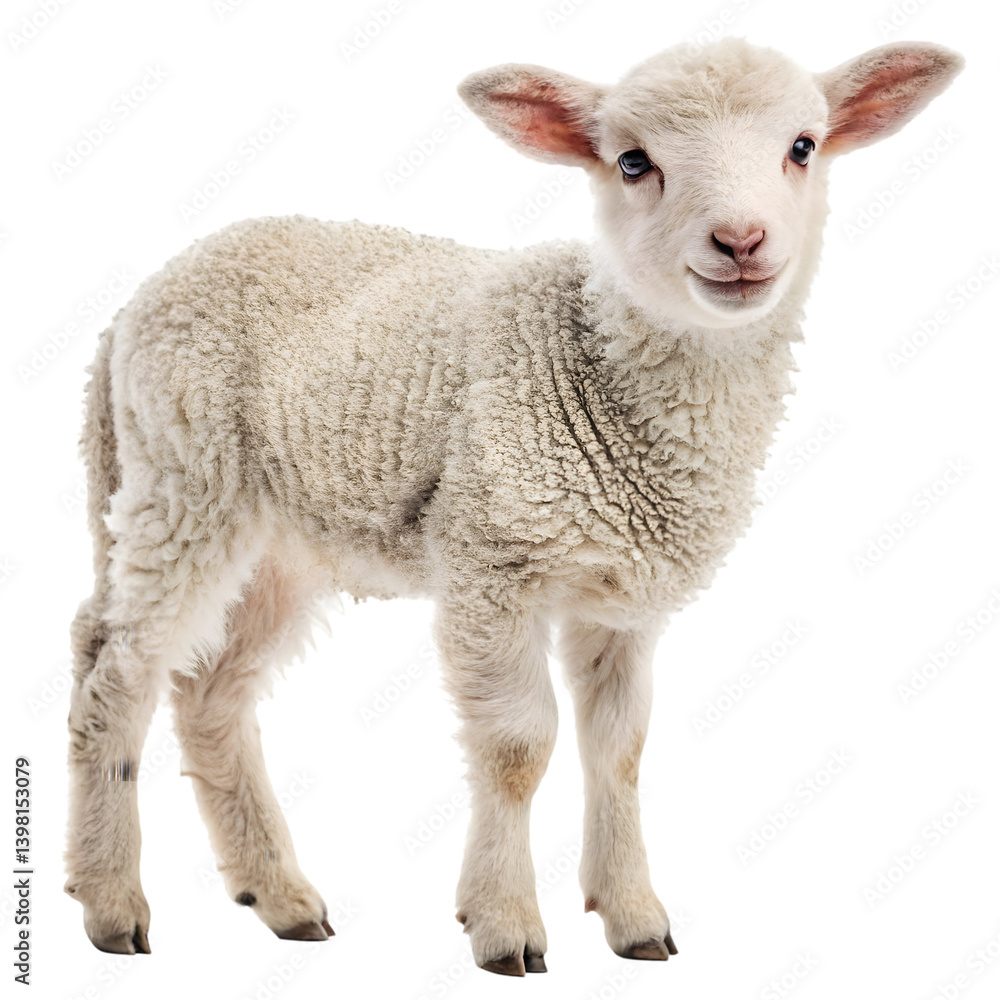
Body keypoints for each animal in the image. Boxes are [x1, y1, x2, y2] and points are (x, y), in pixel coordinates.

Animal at [64, 37, 962, 975]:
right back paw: (112, 903)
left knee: (210, 694)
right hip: (182, 479)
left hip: (280, 538)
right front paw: (503, 924)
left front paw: (634, 917)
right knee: (113, 668)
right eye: (633, 162)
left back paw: (279, 897)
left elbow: (621, 749)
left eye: (803, 147)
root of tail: (130, 308)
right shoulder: (489, 558)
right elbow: (517, 749)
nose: (741, 240)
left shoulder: (623, 594)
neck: (601, 369)